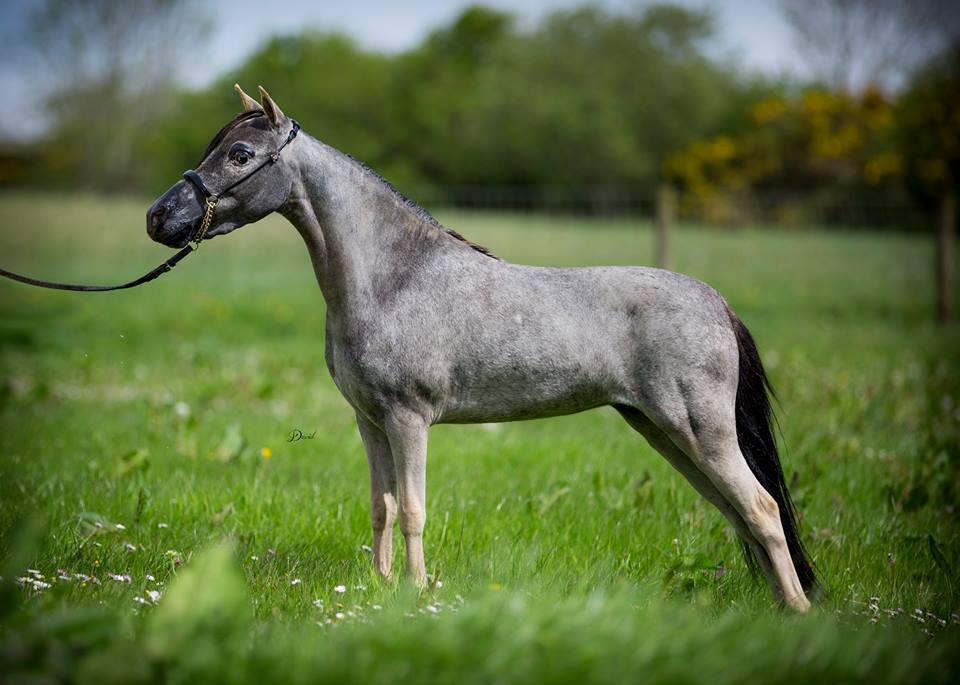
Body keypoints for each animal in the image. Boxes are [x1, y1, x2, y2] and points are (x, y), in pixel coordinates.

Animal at [147, 85, 818, 612]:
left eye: (240, 155)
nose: (159, 217)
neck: (393, 277)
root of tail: (715, 301)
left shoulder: (408, 418)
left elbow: (413, 508)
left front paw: (415, 592)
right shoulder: (370, 422)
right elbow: (381, 506)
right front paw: (380, 588)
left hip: (699, 431)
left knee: (760, 508)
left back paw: (799, 612)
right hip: (664, 432)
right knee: (736, 511)